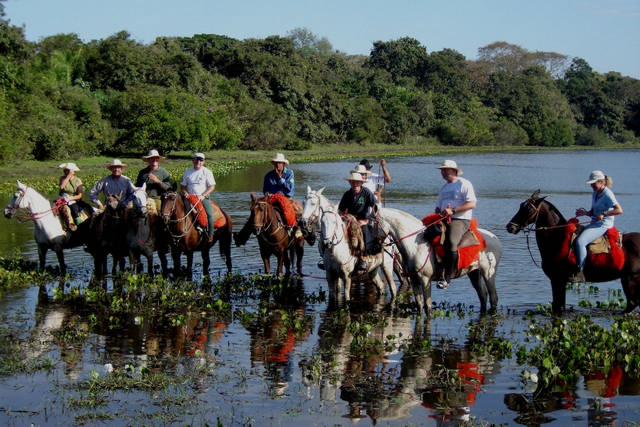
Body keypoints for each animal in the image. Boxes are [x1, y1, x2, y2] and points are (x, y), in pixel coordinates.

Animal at [504, 191, 640, 314]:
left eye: (528, 209)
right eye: (521, 206)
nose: (510, 227)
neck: (558, 237)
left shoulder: (558, 279)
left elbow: (559, 306)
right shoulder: (558, 281)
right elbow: (558, 306)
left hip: (630, 279)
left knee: (632, 304)